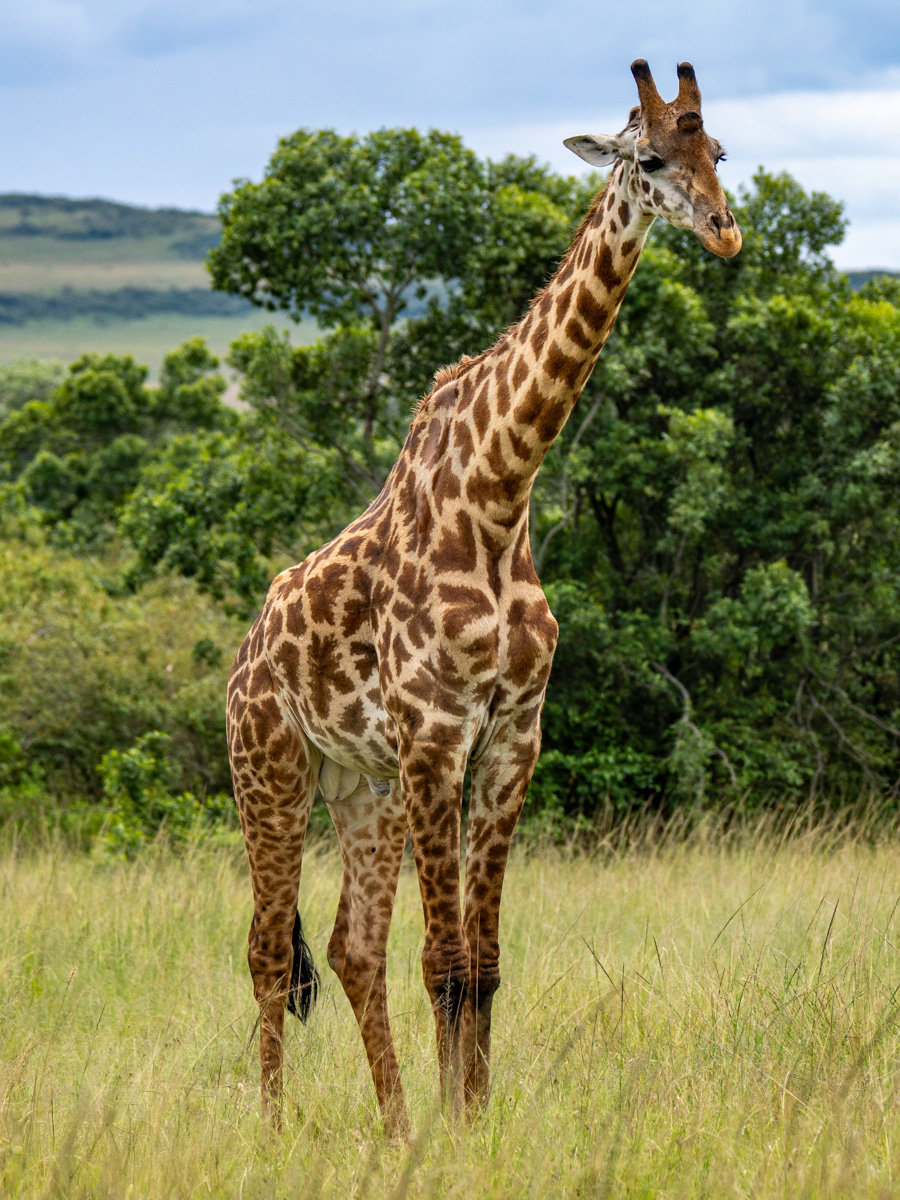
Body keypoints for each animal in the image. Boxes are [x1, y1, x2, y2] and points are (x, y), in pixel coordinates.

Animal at [226, 59, 741, 1138]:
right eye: (646, 157)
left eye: (719, 149)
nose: (724, 231)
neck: (501, 493)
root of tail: (243, 654)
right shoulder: (436, 735)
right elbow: (447, 960)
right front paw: (459, 1134)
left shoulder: (511, 735)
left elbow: (487, 964)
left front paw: (471, 1121)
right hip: (273, 774)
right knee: (267, 949)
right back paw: (273, 1127)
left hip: (363, 788)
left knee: (350, 948)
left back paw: (393, 1127)